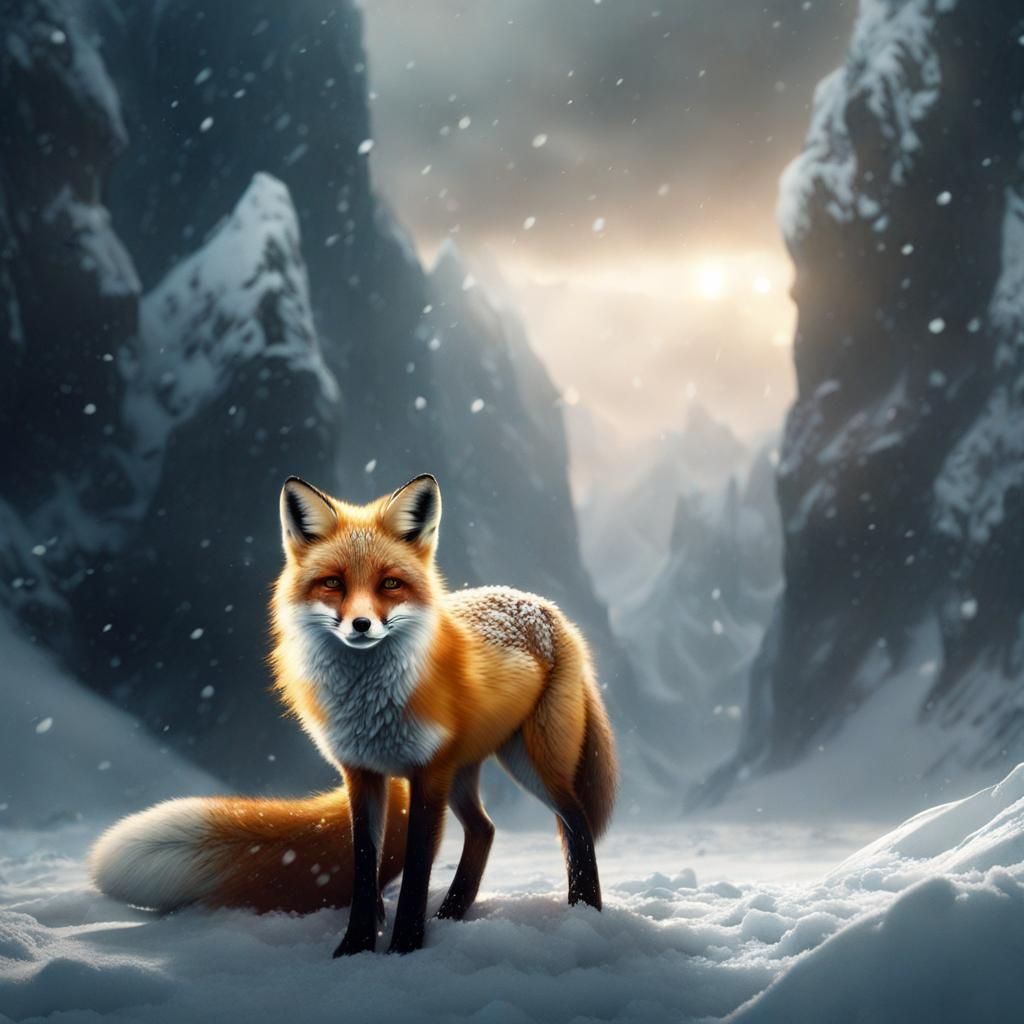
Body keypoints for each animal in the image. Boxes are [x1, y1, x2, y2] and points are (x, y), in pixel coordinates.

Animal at [90, 473, 617, 955]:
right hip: (466, 771)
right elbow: (366, 865)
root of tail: (545, 607)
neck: (369, 707)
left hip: (530, 759)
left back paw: (585, 912)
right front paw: (357, 946)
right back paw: (451, 915)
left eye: (389, 584)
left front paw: (405, 946)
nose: (361, 624)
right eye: (333, 584)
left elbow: (415, 871)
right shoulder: (362, 773)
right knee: (484, 830)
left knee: (575, 821)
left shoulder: (427, 774)